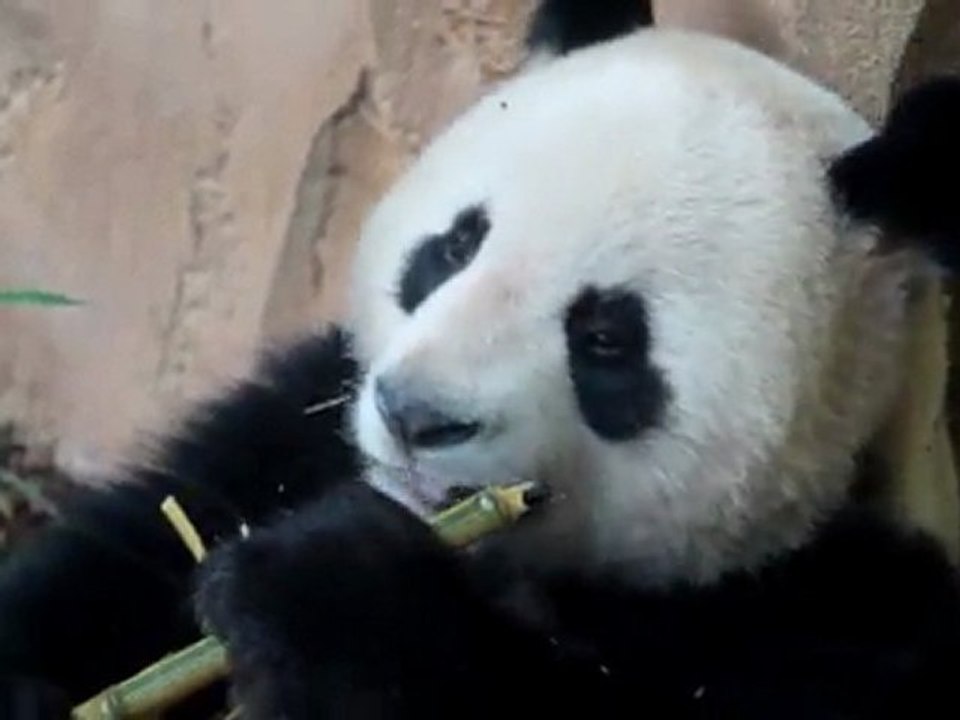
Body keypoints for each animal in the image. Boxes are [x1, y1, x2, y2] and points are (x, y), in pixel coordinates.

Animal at [3, 1, 960, 717]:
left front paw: (321, 591)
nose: (416, 416)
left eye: (606, 337)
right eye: (455, 247)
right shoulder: (293, 423)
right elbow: (126, 551)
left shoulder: (845, 614)